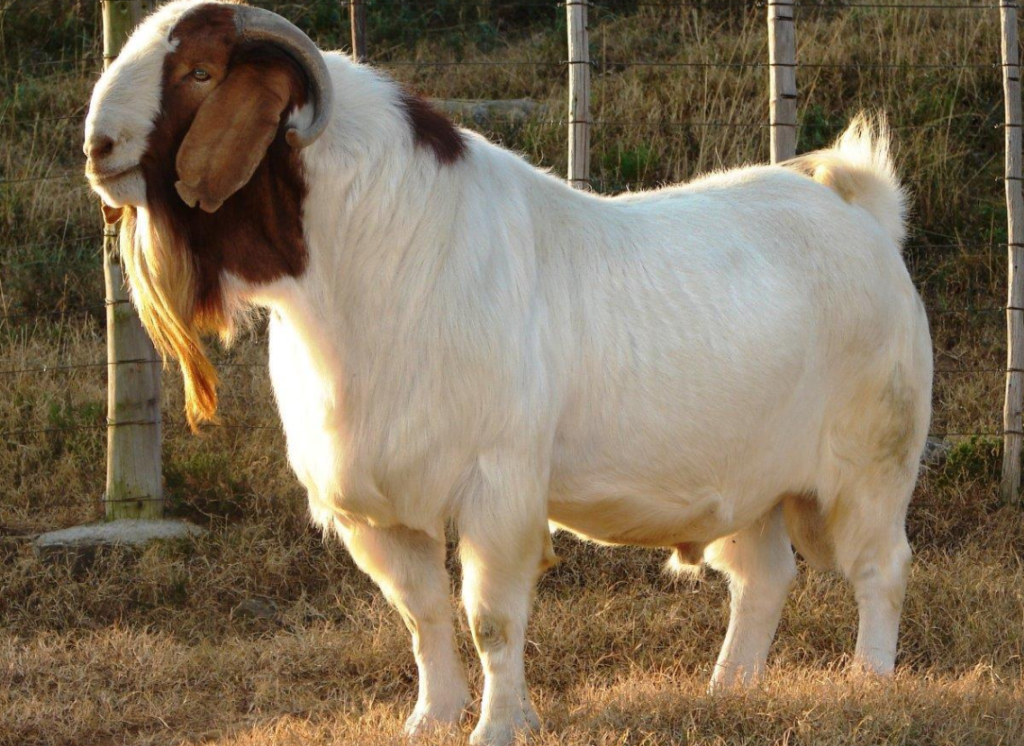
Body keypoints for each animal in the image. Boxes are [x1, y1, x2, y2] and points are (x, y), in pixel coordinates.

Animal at [84, 2, 932, 744]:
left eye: (199, 71)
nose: (98, 146)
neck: (378, 252)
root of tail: (864, 215)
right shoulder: (377, 508)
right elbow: (422, 614)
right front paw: (430, 719)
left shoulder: (499, 487)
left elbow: (491, 617)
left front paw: (497, 726)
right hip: (752, 481)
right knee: (762, 577)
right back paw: (728, 690)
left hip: (872, 460)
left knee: (881, 566)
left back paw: (867, 680)